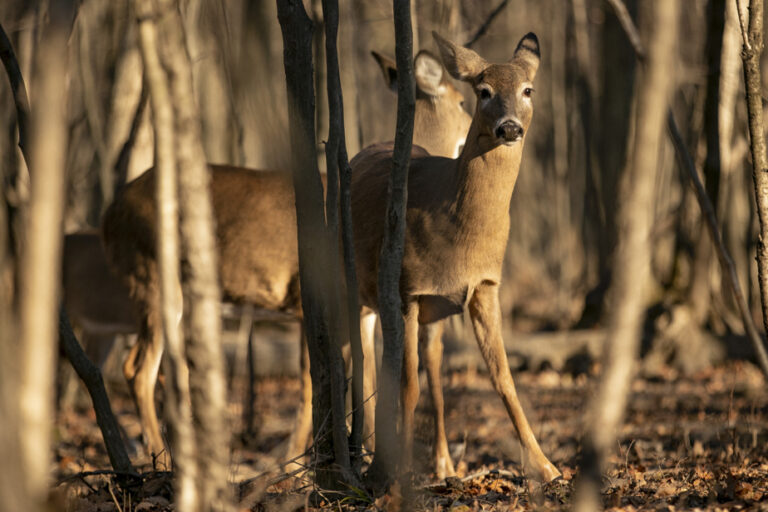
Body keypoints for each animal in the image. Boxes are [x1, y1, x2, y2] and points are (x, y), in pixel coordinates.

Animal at [100, 49, 474, 468]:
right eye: (463, 101)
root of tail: (110, 214)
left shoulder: (363, 310)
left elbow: (366, 377)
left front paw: (364, 452)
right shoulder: (313, 297)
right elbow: (315, 379)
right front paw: (294, 457)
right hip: (151, 276)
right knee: (137, 369)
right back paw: (159, 456)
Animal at [346, 33, 560, 484]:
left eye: (528, 90)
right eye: (482, 92)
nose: (509, 127)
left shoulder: (483, 286)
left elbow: (501, 378)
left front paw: (546, 467)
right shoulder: (408, 289)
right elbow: (408, 386)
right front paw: (401, 477)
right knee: (354, 362)